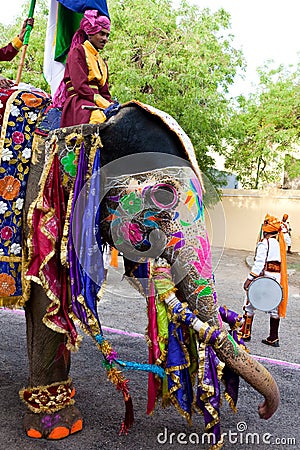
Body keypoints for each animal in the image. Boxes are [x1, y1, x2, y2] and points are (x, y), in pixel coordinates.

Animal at [1, 100, 280, 448]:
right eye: (163, 197)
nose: (263, 410)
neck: (92, 123)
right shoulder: (39, 205)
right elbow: (43, 302)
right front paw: (57, 428)